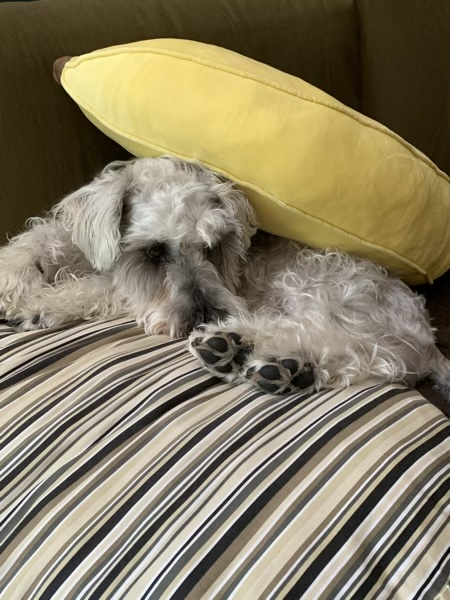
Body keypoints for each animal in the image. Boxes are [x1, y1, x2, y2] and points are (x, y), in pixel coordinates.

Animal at [1, 155, 449, 399]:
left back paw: (240, 346)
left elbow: (102, 288)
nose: (205, 316)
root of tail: (427, 339)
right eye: (153, 251)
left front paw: (39, 305)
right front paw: (14, 282)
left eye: (214, 245)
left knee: (362, 350)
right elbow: (39, 240)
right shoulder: (71, 239)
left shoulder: (123, 289)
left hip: (320, 291)